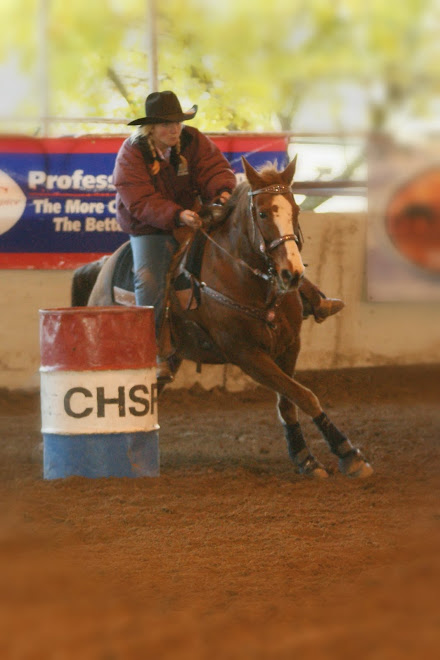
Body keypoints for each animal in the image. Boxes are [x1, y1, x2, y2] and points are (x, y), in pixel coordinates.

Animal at [71, 160, 372, 480]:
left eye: (296, 210)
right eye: (262, 213)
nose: (292, 273)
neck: (251, 284)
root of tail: (102, 268)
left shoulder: (290, 346)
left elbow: (289, 402)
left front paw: (305, 458)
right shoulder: (246, 354)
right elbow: (304, 395)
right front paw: (348, 453)